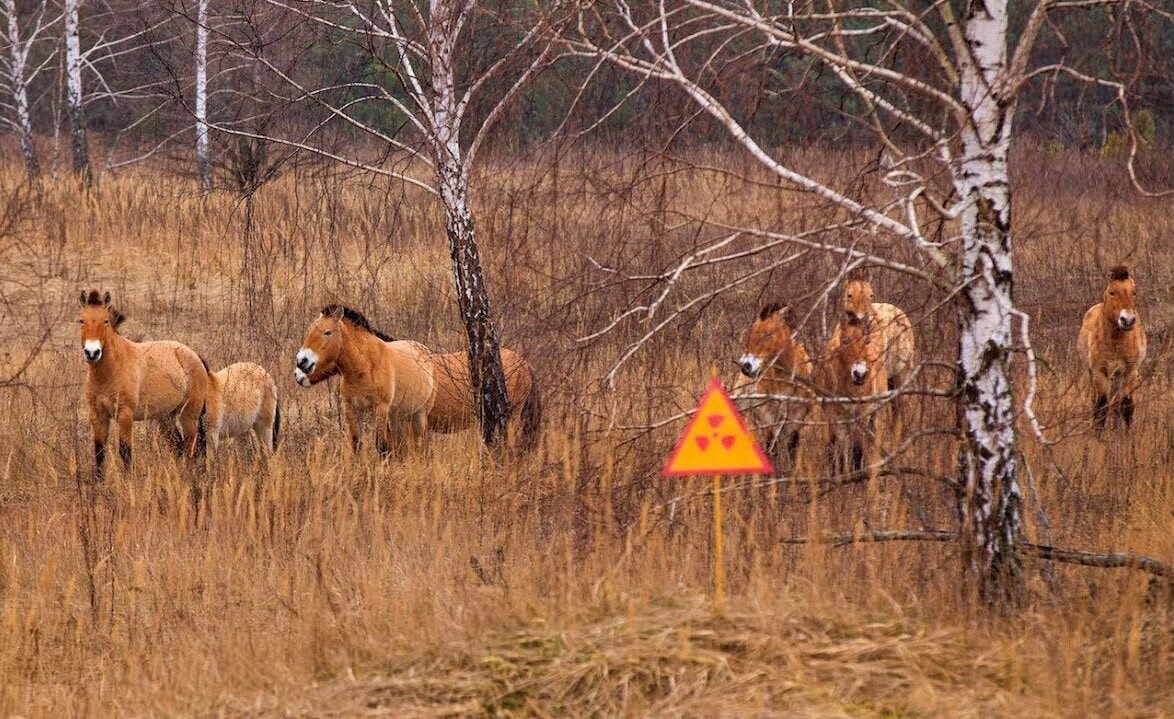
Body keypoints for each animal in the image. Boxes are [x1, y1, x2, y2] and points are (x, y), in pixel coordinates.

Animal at [78, 289, 208, 479]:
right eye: (81, 320)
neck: (108, 373)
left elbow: (125, 452)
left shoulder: (125, 415)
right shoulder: (97, 415)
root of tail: (195, 356)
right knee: (178, 446)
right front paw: (99, 485)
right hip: (165, 417)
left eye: (105, 321)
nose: (92, 353)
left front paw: (128, 482)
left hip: (189, 415)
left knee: (191, 447)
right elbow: (99, 453)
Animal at [293, 303, 436, 455]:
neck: (365, 367)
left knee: (418, 443)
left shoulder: (380, 409)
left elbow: (382, 446)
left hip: (419, 415)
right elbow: (356, 445)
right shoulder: (352, 409)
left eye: (327, 332)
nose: (301, 362)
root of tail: (425, 351)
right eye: (309, 331)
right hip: (397, 416)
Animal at [732, 300, 817, 465]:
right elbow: (772, 446)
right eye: (752, 332)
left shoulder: (796, 418)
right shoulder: (768, 416)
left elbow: (792, 447)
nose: (746, 366)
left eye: (769, 333)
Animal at [821, 321, 882, 476]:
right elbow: (839, 448)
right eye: (845, 341)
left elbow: (858, 449)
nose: (860, 374)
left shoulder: (862, 416)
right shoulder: (835, 417)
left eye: (866, 341)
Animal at [1080, 265, 1145, 429]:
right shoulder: (1100, 372)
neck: (1116, 342)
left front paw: (1127, 435)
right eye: (1112, 292)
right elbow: (1101, 408)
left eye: (1134, 292)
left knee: (1116, 404)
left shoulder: (1130, 371)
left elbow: (1127, 406)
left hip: (1117, 377)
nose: (1127, 320)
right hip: (1094, 374)